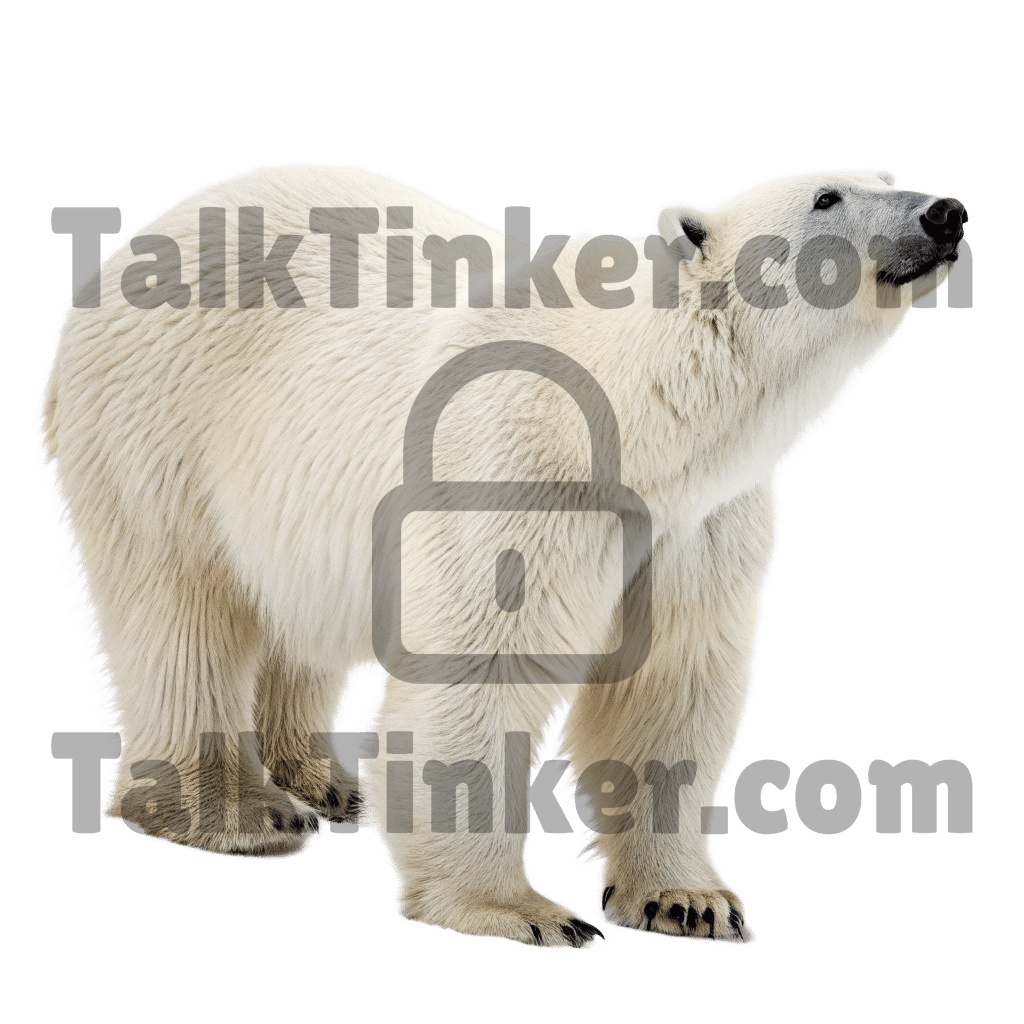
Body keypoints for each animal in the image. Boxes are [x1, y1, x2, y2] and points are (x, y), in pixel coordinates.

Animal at [36, 163, 968, 950]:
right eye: (827, 197)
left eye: (889, 174)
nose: (946, 211)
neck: (636, 419)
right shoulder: (513, 469)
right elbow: (482, 668)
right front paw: (522, 911)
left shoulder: (697, 526)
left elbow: (672, 681)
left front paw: (690, 902)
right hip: (160, 428)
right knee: (181, 608)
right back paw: (238, 812)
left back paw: (332, 782)